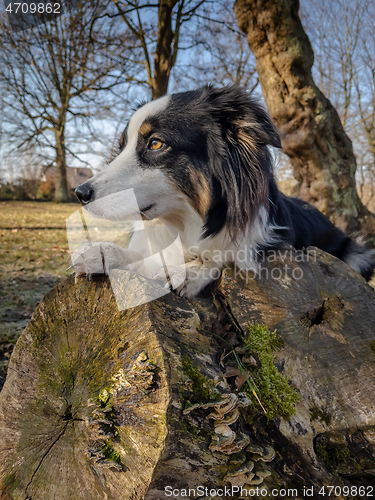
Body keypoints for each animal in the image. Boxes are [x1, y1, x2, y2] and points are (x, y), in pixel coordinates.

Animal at [74, 85, 375, 296]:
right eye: (122, 146)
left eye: (156, 144)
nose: (80, 193)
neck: (184, 225)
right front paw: (105, 253)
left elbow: (223, 257)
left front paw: (190, 270)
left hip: (356, 253)